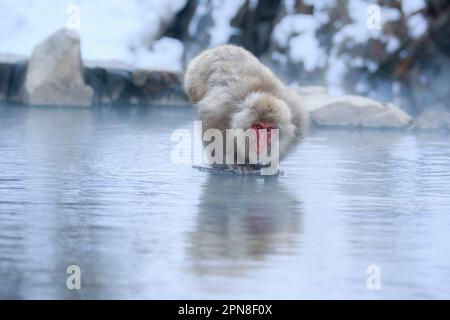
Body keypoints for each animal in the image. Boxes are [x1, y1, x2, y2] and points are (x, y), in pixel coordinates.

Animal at [185, 44, 308, 175]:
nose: (262, 142)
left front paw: (269, 162)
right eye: (258, 127)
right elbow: (212, 130)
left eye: (269, 130)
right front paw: (236, 162)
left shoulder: (296, 115)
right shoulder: (221, 110)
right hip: (194, 82)